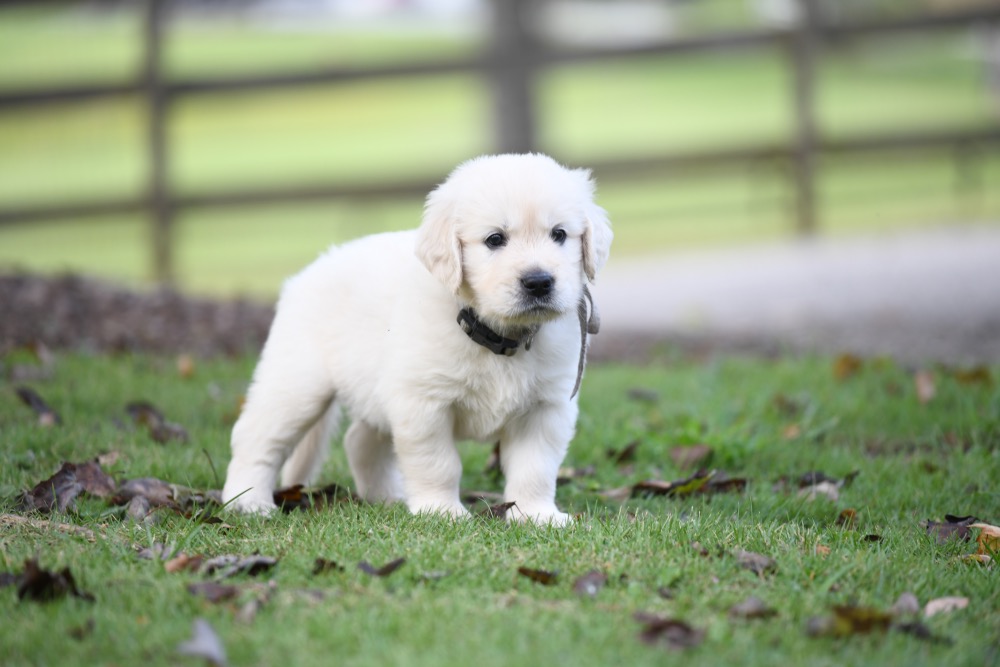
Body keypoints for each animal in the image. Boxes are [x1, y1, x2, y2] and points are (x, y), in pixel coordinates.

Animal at [221, 154, 608, 524]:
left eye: (559, 234)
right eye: (495, 239)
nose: (539, 282)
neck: (495, 334)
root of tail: (305, 274)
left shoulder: (546, 407)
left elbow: (535, 468)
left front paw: (536, 515)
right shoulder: (423, 402)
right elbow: (438, 462)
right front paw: (442, 511)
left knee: (358, 441)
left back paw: (387, 497)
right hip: (297, 385)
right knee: (255, 437)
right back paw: (248, 501)